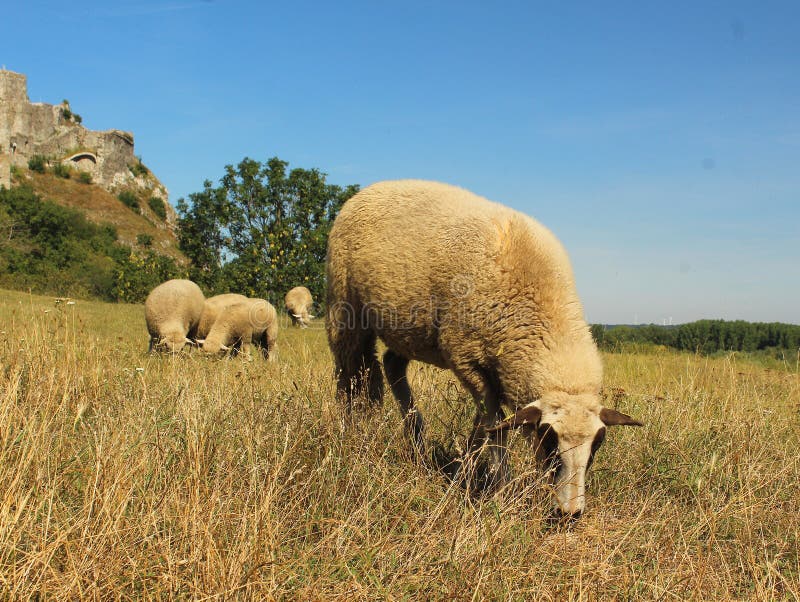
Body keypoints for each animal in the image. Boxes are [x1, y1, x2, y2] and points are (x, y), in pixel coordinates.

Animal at [326, 179, 644, 520]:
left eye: (597, 446)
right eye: (548, 441)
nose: (569, 512)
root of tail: (371, 188)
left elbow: (485, 425)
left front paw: (463, 468)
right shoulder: (465, 358)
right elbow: (495, 424)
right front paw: (499, 488)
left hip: (410, 327)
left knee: (390, 365)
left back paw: (417, 439)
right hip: (345, 307)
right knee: (348, 372)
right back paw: (349, 430)